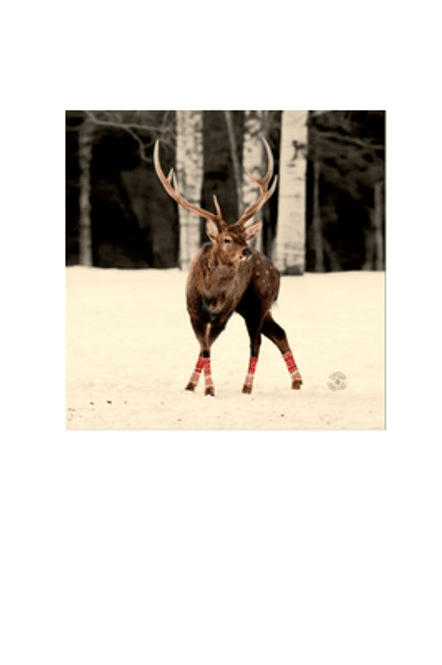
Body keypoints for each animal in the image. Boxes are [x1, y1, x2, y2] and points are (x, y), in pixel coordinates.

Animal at [154, 136, 302, 396]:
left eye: (245, 237)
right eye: (227, 239)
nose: (247, 251)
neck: (210, 293)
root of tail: (276, 272)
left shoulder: (224, 313)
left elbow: (207, 348)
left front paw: (209, 389)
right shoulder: (193, 311)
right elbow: (204, 347)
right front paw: (192, 385)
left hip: (258, 303)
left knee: (256, 343)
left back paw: (247, 386)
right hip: (252, 307)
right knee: (279, 333)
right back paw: (297, 381)